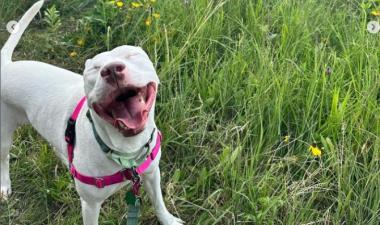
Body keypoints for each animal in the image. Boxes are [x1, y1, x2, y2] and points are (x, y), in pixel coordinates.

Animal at [0, 0, 184, 224]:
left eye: (131, 55)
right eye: (95, 68)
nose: (111, 69)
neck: (126, 150)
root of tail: (7, 66)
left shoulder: (151, 173)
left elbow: (158, 202)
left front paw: (168, 220)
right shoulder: (90, 204)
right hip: (3, 136)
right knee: (4, 159)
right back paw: (5, 186)